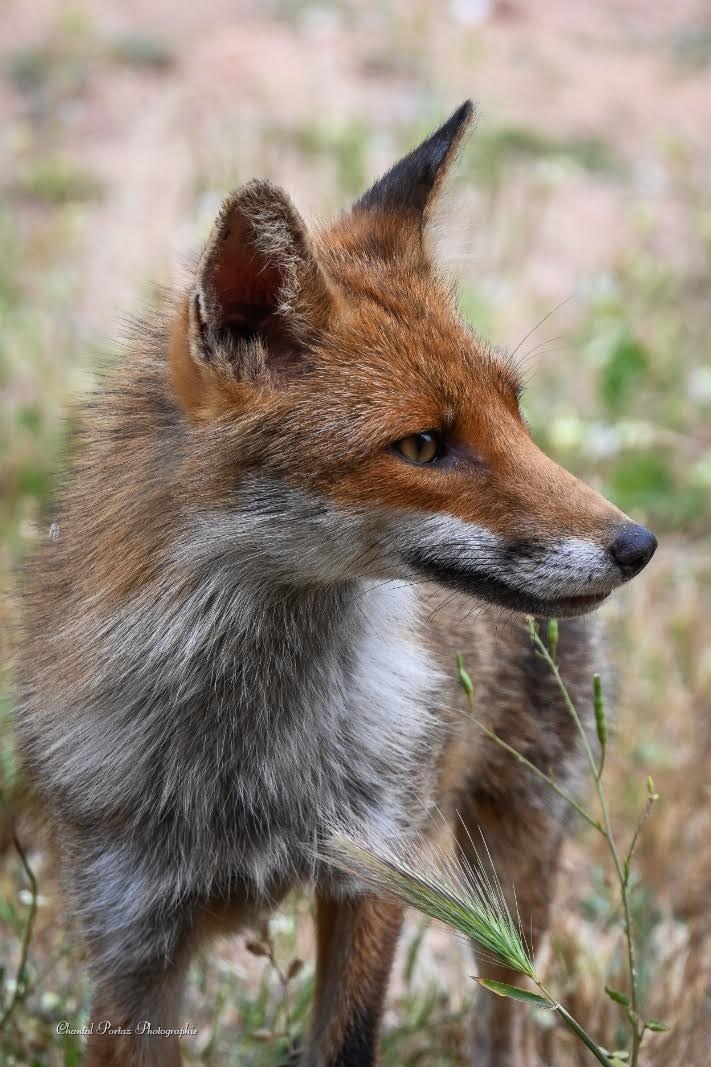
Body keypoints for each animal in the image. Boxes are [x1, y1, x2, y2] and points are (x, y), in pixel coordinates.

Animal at [15, 100, 657, 1067]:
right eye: (423, 445)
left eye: (514, 410)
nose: (637, 543)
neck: (242, 760)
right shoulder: (129, 945)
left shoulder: (372, 872)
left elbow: (347, 1039)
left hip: (513, 862)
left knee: (506, 1007)